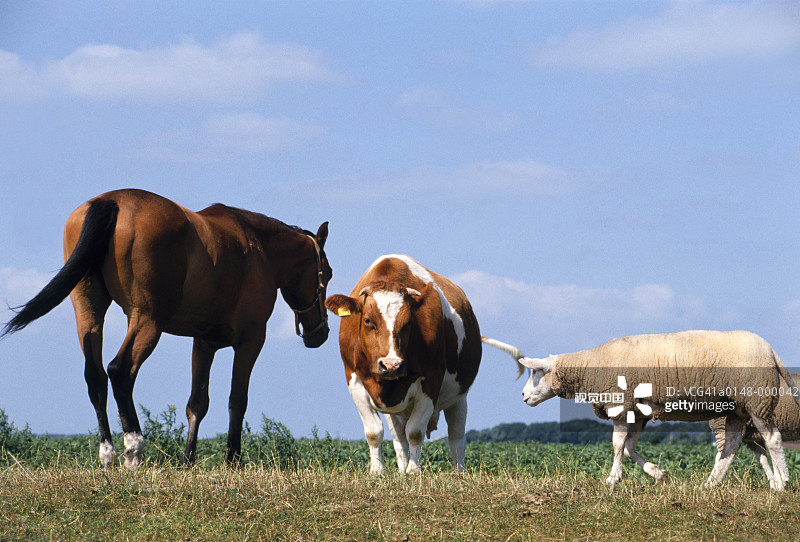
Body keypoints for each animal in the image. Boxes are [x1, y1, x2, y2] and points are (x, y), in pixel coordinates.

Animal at [0, 190, 332, 468]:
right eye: (326, 273)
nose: (321, 334)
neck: (257, 248)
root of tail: (112, 201)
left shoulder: (204, 343)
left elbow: (197, 403)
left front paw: (187, 460)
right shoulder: (251, 340)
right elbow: (237, 400)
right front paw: (233, 460)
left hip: (89, 314)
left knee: (95, 376)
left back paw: (108, 453)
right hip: (148, 320)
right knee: (120, 370)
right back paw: (133, 449)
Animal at [324, 256, 482, 476]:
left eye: (408, 323)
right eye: (368, 320)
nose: (391, 365)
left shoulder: (431, 380)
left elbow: (415, 432)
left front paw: (413, 471)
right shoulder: (354, 379)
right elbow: (374, 431)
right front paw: (377, 471)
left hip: (459, 397)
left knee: (456, 437)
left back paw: (459, 473)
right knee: (399, 438)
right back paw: (400, 470)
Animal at [520, 330, 800, 490]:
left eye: (535, 372)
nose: (522, 396)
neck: (589, 367)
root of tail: (771, 351)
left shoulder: (620, 404)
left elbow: (617, 444)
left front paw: (612, 478)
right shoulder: (637, 411)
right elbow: (629, 447)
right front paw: (658, 473)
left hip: (756, 400)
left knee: (773, 439)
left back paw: (783, 483)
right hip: (735, 409)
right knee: (731, 446)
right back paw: (710, 484)